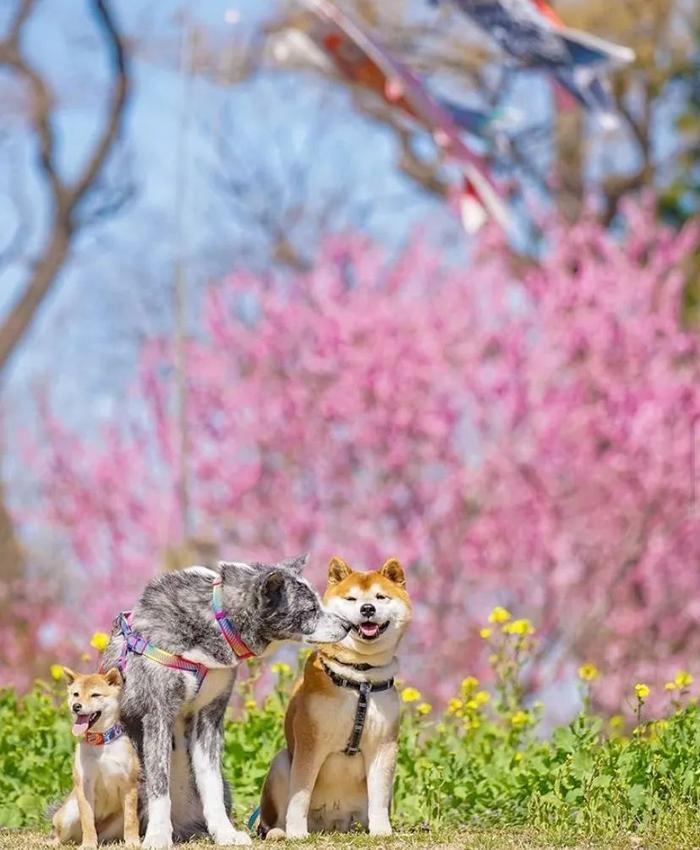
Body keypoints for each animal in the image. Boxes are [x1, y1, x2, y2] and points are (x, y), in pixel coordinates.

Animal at [52, 668, 139, 840]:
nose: (76, 706)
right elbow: (87, 821)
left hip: (115, 822)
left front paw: (133, 842)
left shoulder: (128, 783)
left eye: (95, 695)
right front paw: (89, 843)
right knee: (62, 835)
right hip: (68, 815)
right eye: (76, 694)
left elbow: (131, 821)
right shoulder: (85, 785)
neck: (100, 743)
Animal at [260, 552, 412, 840]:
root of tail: (331, 823)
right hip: (280, 763)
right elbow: (300, 796)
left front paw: (382, 831)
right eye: (351, 599)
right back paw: (279, 832)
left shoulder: (384, 745)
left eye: (380, 597)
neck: (360, 676)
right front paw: (297, 833)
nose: (367, 609)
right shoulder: (310, 741)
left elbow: (379, 796)